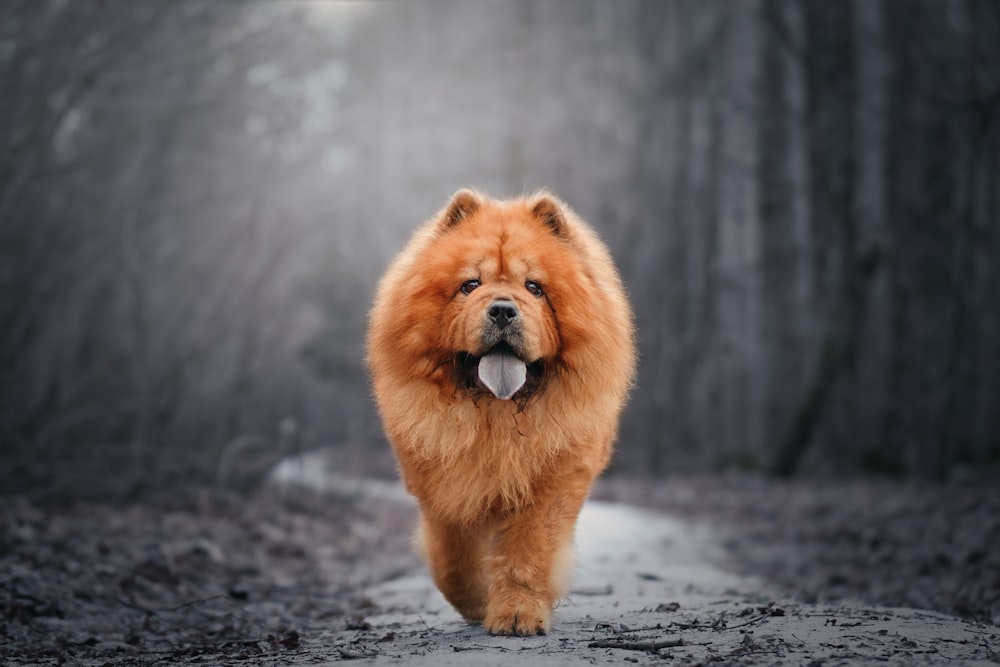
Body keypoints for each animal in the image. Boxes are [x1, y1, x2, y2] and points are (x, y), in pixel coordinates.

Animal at [366, 192, 632, 636]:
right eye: (470, 285)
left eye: (534, 287)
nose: (504, 310)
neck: (497, 416)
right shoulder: (441, 485)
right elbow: (452, 558)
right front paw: (477, 602)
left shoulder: (551, 481)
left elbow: (527, 552)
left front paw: (518, 613)